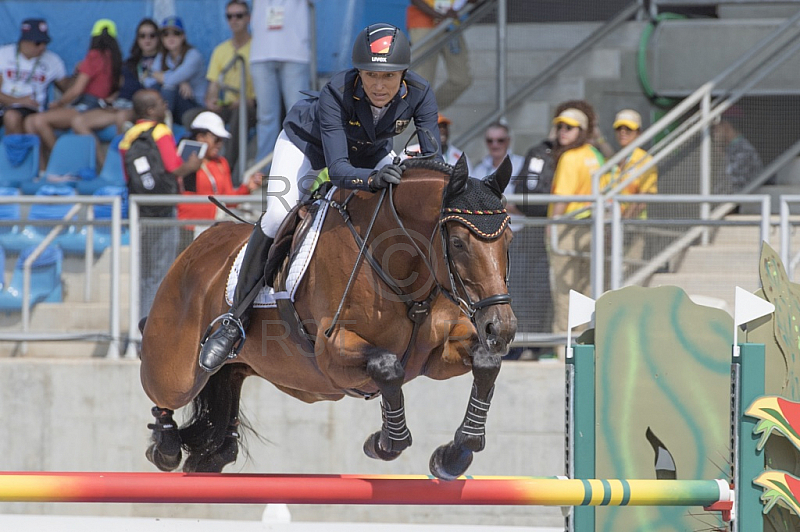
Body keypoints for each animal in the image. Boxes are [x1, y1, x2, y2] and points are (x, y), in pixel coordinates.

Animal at [140, 156, 516, 480]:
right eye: (458, 242)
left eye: (509, 239)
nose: (501, 328)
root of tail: (195, 246)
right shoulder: (332, 352)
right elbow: (387, 367)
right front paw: (383, 444)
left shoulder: (434, 356)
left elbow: (485, 363)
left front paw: (454, 455)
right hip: (176, 371)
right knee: (161, 393)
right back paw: (166, 444)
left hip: (243, 365)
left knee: (226, 391)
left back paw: (212, 452)